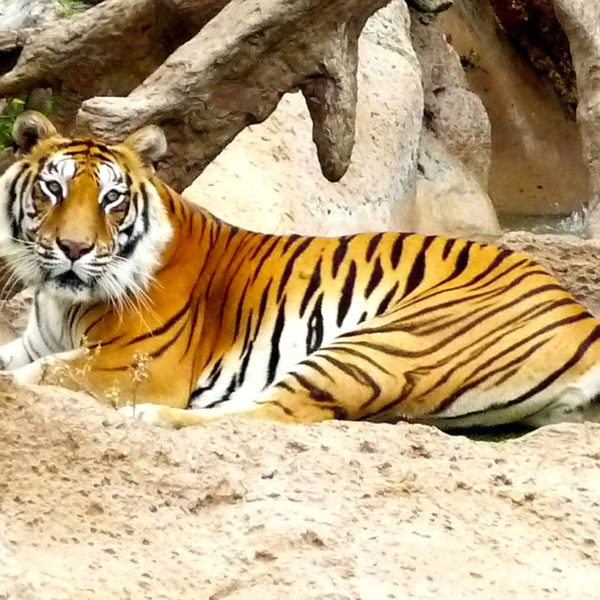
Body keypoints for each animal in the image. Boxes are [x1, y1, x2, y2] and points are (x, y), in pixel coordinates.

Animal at [0, 109, 600, 432]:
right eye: (53, 189)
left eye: (112, 199)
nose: (73, 248)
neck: (61, 300)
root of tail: (582, 315)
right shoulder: (35, 343)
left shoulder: (134, 364)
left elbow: (45, 376)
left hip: (383, 344)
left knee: (277, 416)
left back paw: (153, 418)